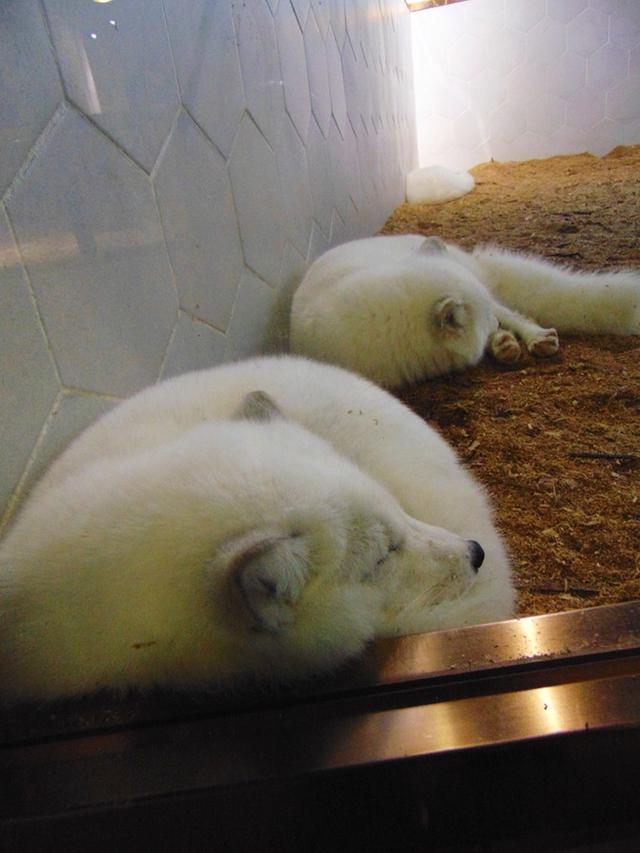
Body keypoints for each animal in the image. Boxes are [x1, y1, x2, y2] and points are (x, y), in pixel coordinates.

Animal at [290, 236, 640, 390]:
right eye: (481, 319)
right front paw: (498, 339)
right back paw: (504, 345)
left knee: (516, 314)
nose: (493, 322)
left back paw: (535, 338)